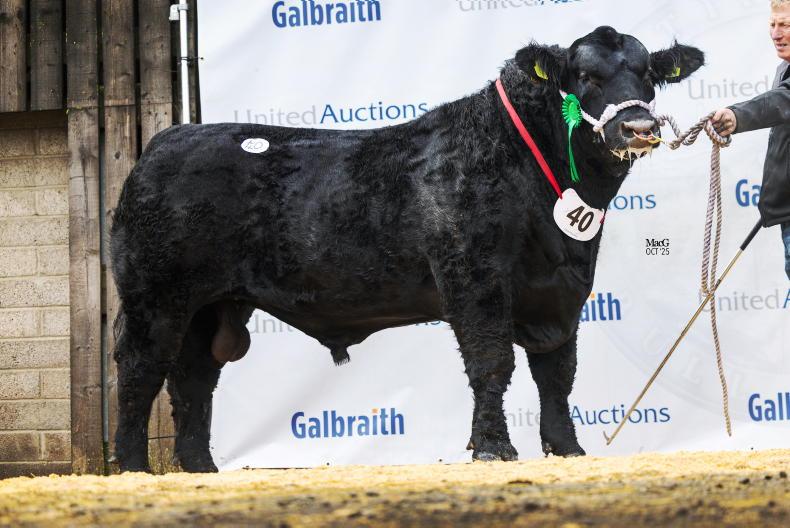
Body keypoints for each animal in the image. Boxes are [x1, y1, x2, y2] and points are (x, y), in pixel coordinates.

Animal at [110, 26, 704, 473]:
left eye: (649, 75)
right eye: (585, 76)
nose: (639, 127)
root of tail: (165, 141)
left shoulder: (562, 291)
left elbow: (557, 371)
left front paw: (567, 448)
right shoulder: (474, 276)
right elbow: (492, 361)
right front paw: (493, 448)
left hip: (211, 306)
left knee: (193, 378)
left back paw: (200, 468)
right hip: (154, 296)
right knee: (141, 368)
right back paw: (132, 466)